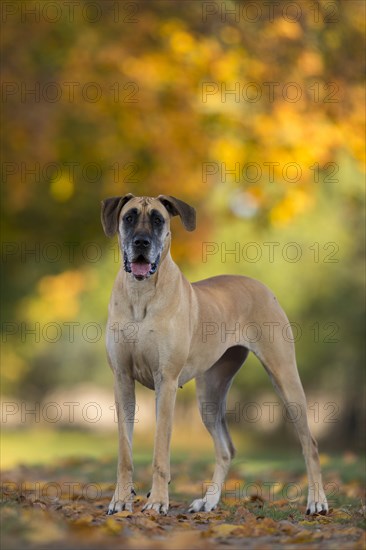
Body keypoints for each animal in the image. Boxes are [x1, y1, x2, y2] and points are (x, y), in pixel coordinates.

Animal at [101, 194, 328, 516]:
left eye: (158, 219)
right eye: (129, 217)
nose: (141, 242)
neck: (140, 294)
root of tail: (261, 286)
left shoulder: (166, 381)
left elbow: (160, 452)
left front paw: (157, 501)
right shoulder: (122, 379)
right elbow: (125, 451)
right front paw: (120, 499)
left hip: (284, 376)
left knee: (310, 443)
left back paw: (317, 500)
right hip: (209, 391)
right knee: (225, 448)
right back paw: (208, 500)